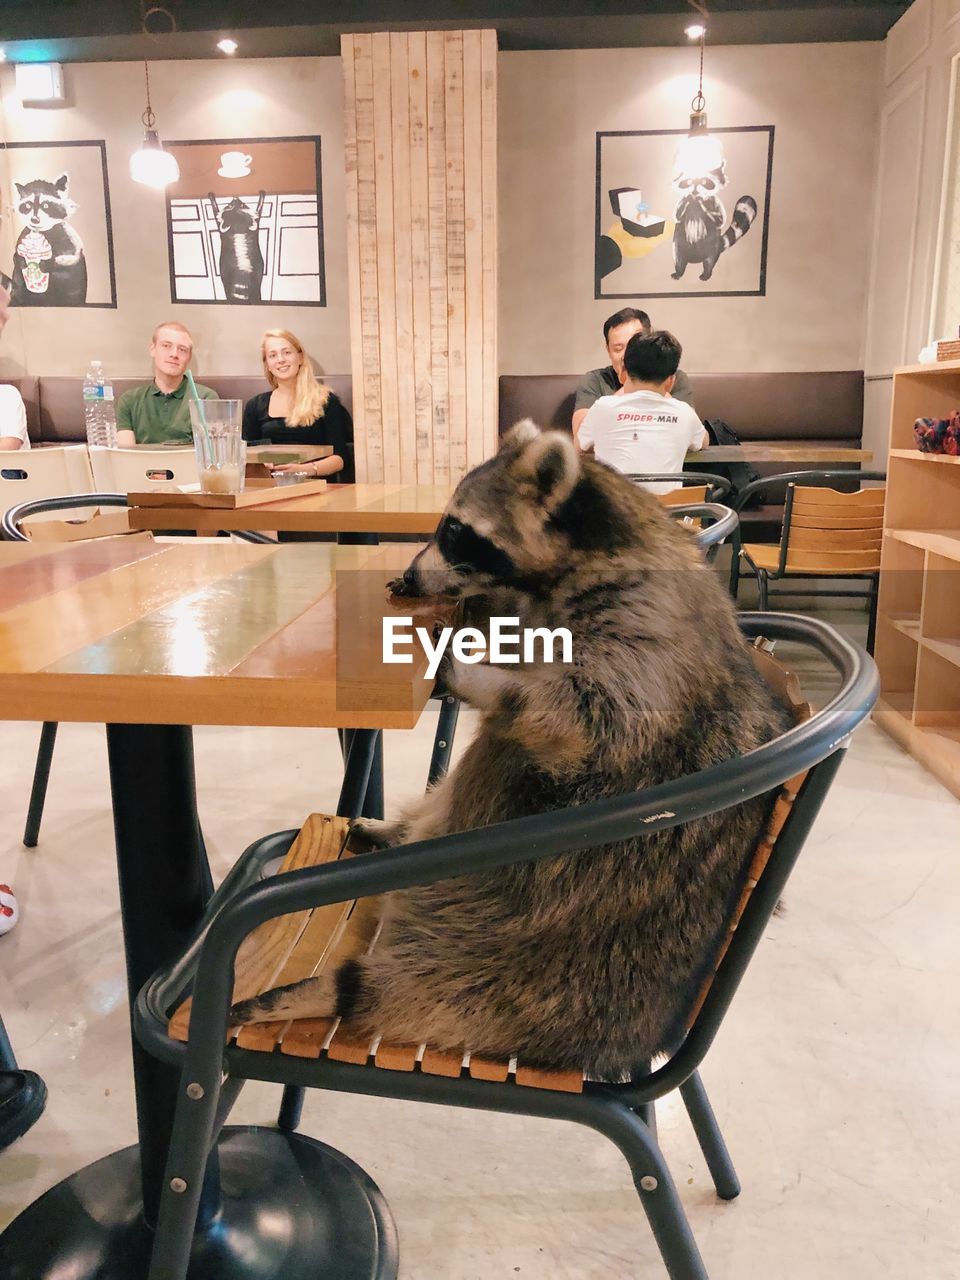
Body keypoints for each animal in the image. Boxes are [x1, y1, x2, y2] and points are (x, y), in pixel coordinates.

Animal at [10, 175, 87, 307]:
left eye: (45, 205)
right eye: (28, 205)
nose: (34, 219)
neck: (41, 231)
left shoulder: (67, 235)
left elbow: (72, 255)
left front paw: (49, 262)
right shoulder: (23, 236)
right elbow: (17, 254)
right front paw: (20, 260)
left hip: (73, 286)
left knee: (65, 279)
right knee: (18, 282)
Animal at [235, 424, 798, 1075]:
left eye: (457, 530)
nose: (413, 575)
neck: (589, 554)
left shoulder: (650, 629)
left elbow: (588, 721)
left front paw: (468, 666)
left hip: (533, 943)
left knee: (426, 977)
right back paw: (396, 832)